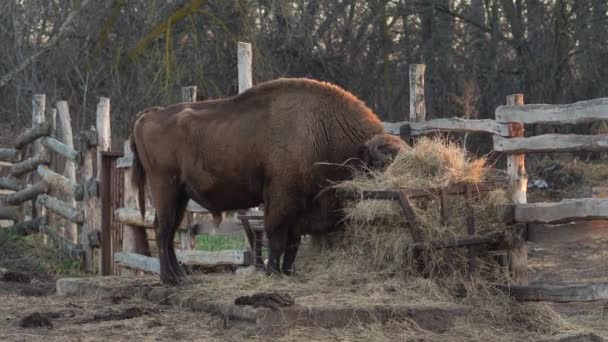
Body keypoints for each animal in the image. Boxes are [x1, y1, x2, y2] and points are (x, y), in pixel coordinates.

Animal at [131, 77, 406, 284]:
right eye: (383, 166)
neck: (322, 130)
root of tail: (149, 115)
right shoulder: (280, 198)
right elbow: (277, 237)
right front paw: (273, 272)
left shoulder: (300, 208)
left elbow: (293, 241)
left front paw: (288, 272)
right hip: (165, 187)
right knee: (163, 229)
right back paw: (170, 279)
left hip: (181, 194)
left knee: (168, 231)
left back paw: (180, 275)